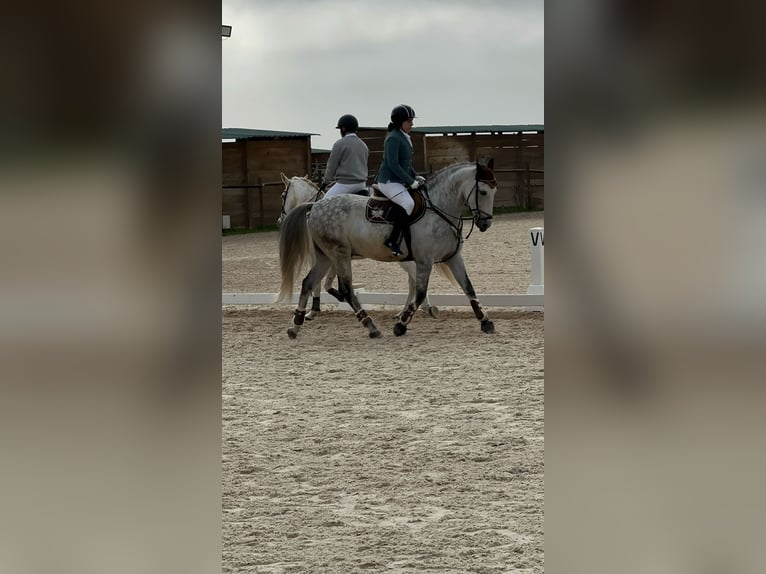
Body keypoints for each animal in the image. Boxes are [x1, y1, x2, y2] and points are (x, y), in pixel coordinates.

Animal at [278, 173, 444, 322]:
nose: (280, 219)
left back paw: (423, 308)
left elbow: (320, 285)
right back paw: (406, 312)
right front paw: (339, 296)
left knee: (414, 279)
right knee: (413, 281)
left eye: (282, 195)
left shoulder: (320, 257)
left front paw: (313, 311)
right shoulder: (334, 258)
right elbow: (327, 283)